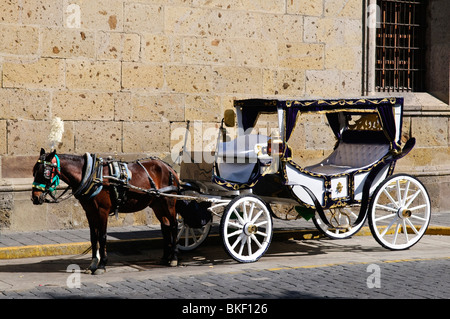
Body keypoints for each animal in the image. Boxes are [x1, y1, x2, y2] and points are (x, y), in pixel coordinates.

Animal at [31, 149, 181, 276]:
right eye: (33, 171)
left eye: (44, 173)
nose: (35, 198)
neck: (92, 176)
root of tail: (169, 168)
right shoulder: (90, 211)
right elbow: (93, 237)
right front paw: (92, 265)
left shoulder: (102, 211)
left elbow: (102, 237)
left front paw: (102, 265)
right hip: (157, 205)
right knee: (165, 227)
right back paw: (165, 257)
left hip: (169, 202)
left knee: (174, 226)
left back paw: (173, 258)